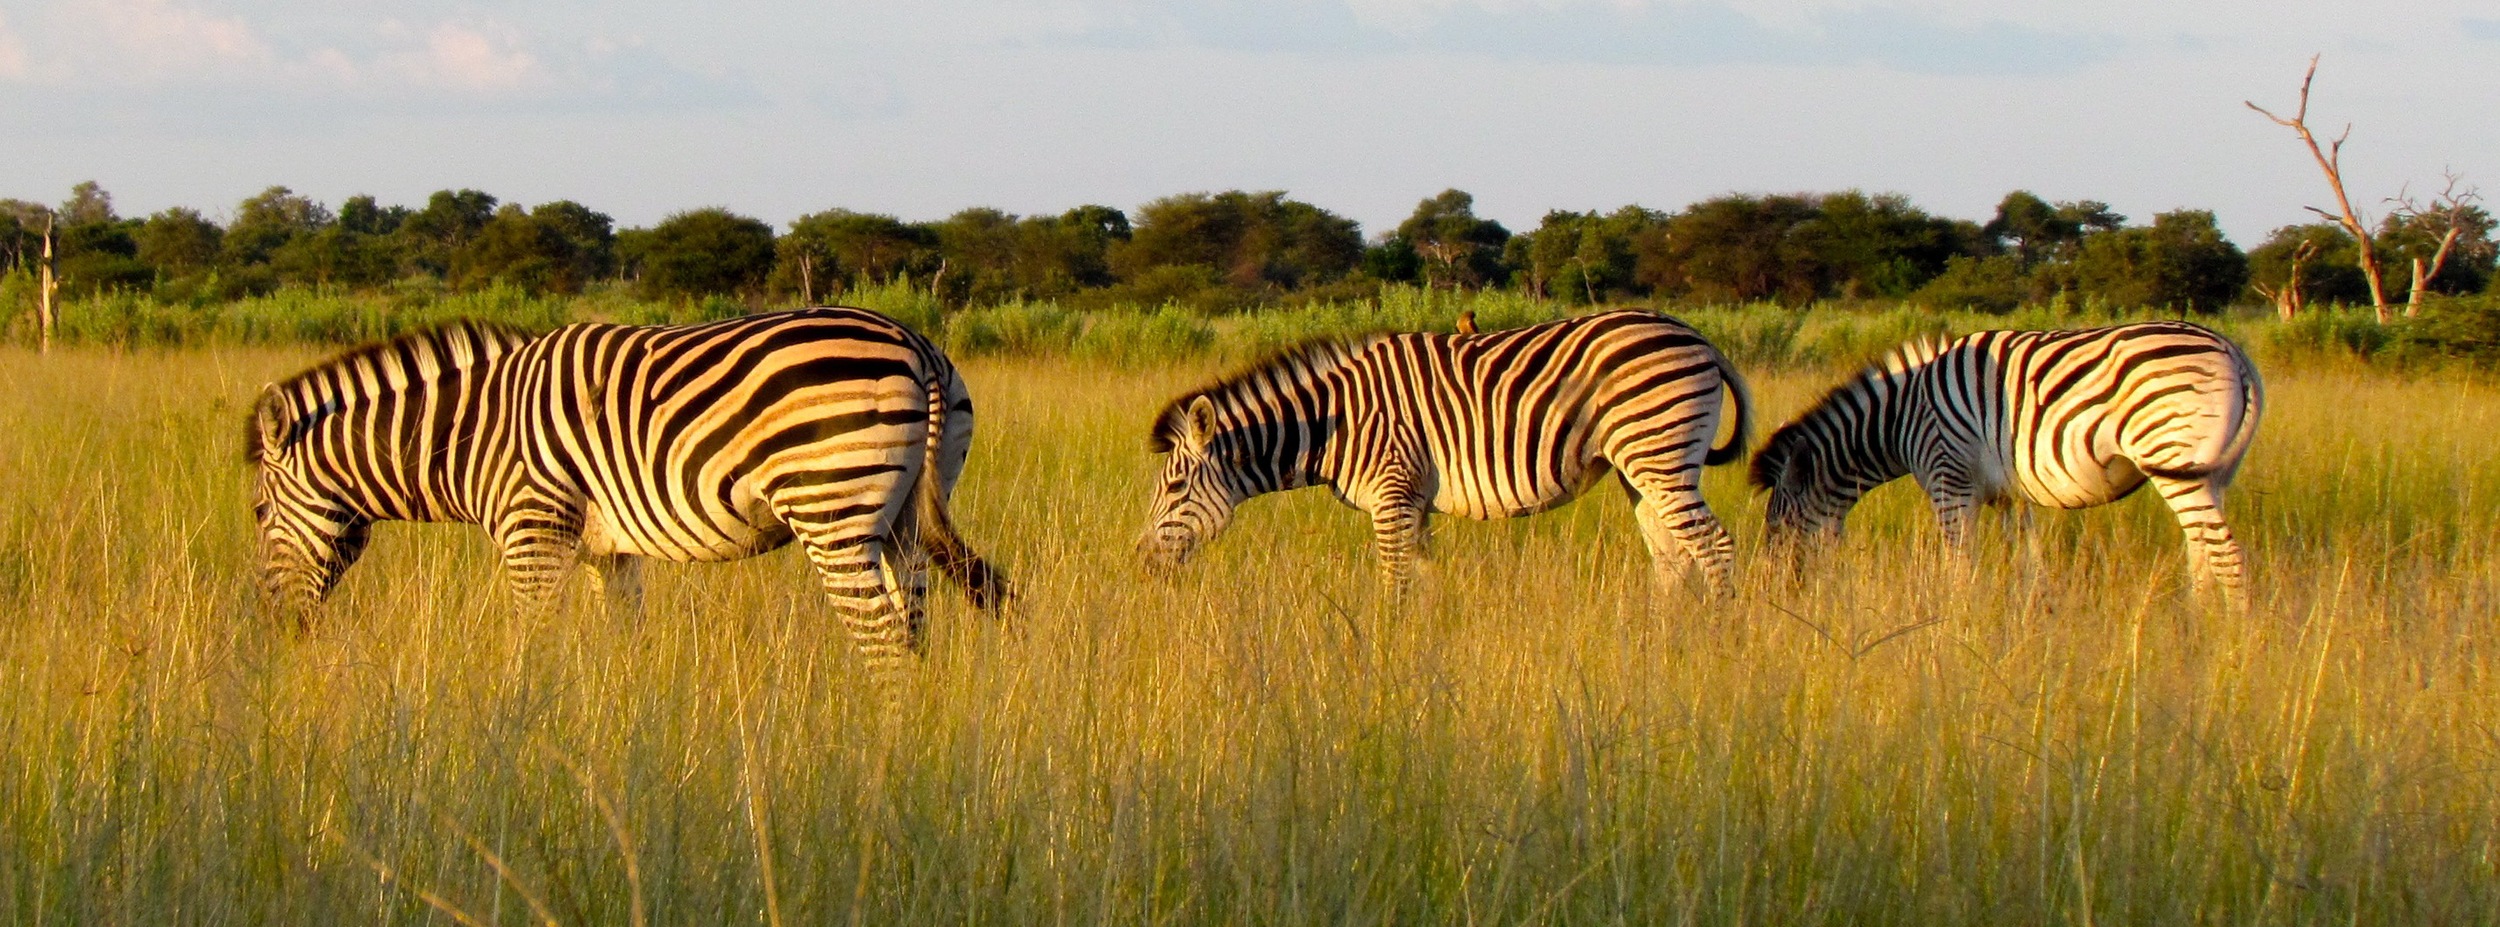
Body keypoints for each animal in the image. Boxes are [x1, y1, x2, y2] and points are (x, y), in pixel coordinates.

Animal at [243, 308, 1005, 684]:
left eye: (256, 512)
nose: (275, 626)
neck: (475, 433)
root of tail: (917, 344)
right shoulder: (607, 552)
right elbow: (624, 642)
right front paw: (624, 734)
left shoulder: (534, 530)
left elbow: (532, 645)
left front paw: (518, 731)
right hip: (906, 523)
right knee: (915, 632)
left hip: (832, 511)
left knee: (883, 640)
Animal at [1140, 309, 1750, 602]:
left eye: (1173, 489)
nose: (1142, 562)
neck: (1333, 424)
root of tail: (1697, 335)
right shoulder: (1414, 500)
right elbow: (1426, 577)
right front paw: (1425, 647)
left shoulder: (1392, 492)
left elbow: (1396, 582)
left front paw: (1385, 654)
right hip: (1640, 468)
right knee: (1672, 554)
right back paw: (1661, 637)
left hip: (1660, 453)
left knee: (1715, 545)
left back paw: (1719, 635)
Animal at [1740, 322, 2270, 602]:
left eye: (1777, 525)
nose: (1770, 592)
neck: (1899, 417)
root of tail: (2234, 351)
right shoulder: (2010, 495)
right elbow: (2027, 565)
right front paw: (2032, 620)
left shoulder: (1949, 479)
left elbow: (1958, 565)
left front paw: (1954, 624)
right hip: (2212, 474)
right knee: (2202, 553)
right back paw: (2196, 623)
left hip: (2173, 455)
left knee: (2227, 557)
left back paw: (2231, 641)